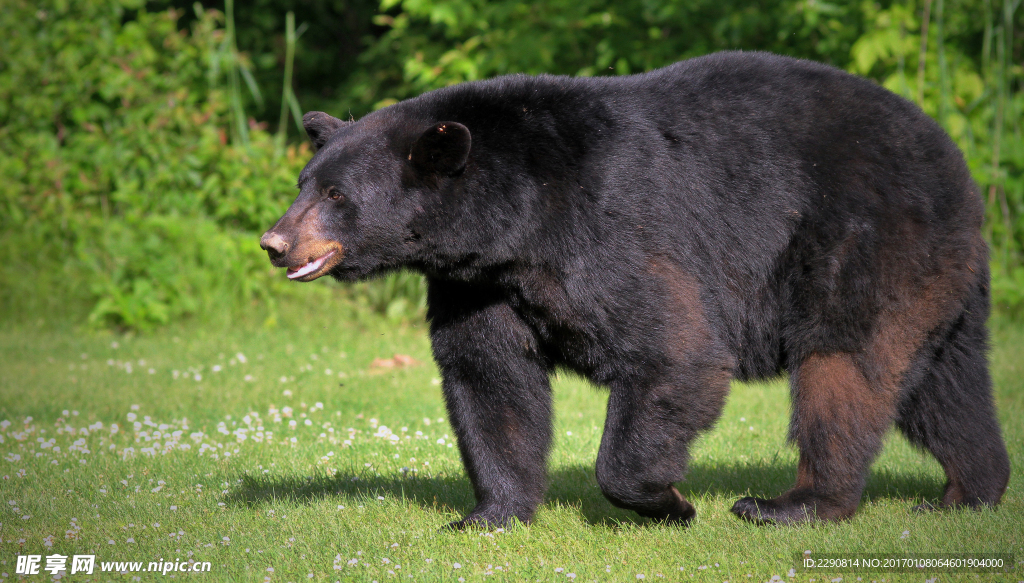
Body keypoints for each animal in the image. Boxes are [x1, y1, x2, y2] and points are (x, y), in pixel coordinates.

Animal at [260, 51, 1010, 528]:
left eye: (336, 195)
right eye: (303, 182)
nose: (275, 242)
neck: (515, 218)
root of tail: (955, 159)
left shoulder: (610, 232)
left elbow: (673, 350)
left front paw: (669, 501)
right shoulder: (475, 283)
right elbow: (490, 380)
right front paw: (489, 513)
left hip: (864, 242)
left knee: (843, 370)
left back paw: (792, 504)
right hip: (942, 277)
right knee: (945, 384)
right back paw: (968, 491)